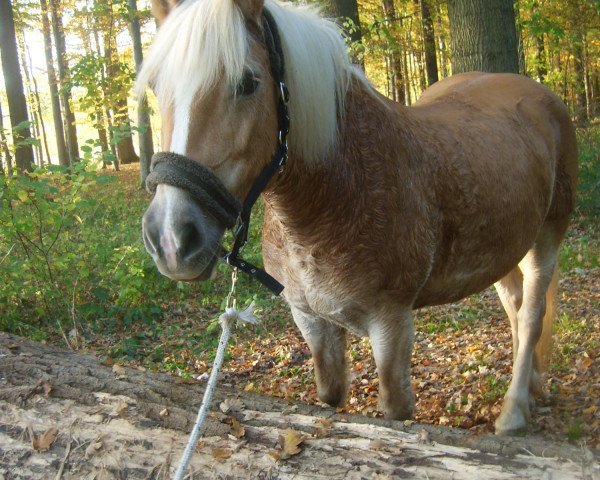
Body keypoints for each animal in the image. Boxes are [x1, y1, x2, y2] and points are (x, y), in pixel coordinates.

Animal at [138, 0, 580, 436]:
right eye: (156, 87)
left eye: (247, 82)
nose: (172, 239)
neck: (332, 197)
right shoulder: (310, 318)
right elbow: (330, 394)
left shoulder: (391, 323)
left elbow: (396, 410)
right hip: (502, 248)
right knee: (516, 309)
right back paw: (533, 384)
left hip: (546, 239)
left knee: (531, 315)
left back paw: (514, 410)